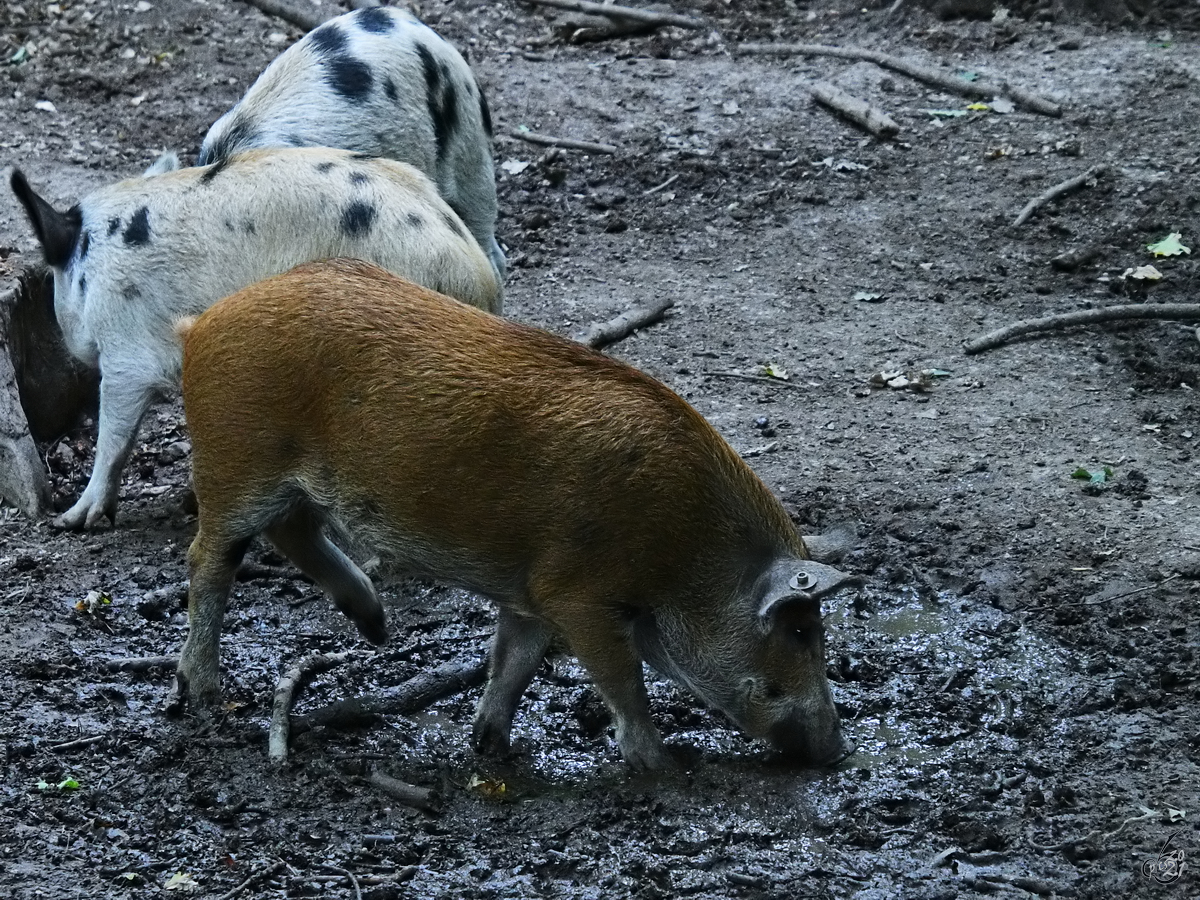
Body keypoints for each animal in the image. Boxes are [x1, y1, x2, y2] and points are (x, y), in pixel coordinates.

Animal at [9, 144, 499, 532]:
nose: (71, 347)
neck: (91, 268)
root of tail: (476, 277)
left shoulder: (127, 348)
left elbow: (114, 434)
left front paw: (69, 521)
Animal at [174, 256, 859, 772]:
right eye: (802, 630)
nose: (838, 751)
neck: (682, 548)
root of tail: (200, 322)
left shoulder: (531, 594)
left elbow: (515, 663)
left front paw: (490, 748)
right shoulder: (577, 595)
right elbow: (624, 683)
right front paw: (666, 767)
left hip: (287, 487)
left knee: (291, 532)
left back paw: (378, 630)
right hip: (236, 464)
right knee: (208, 558)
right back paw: (204, 694)